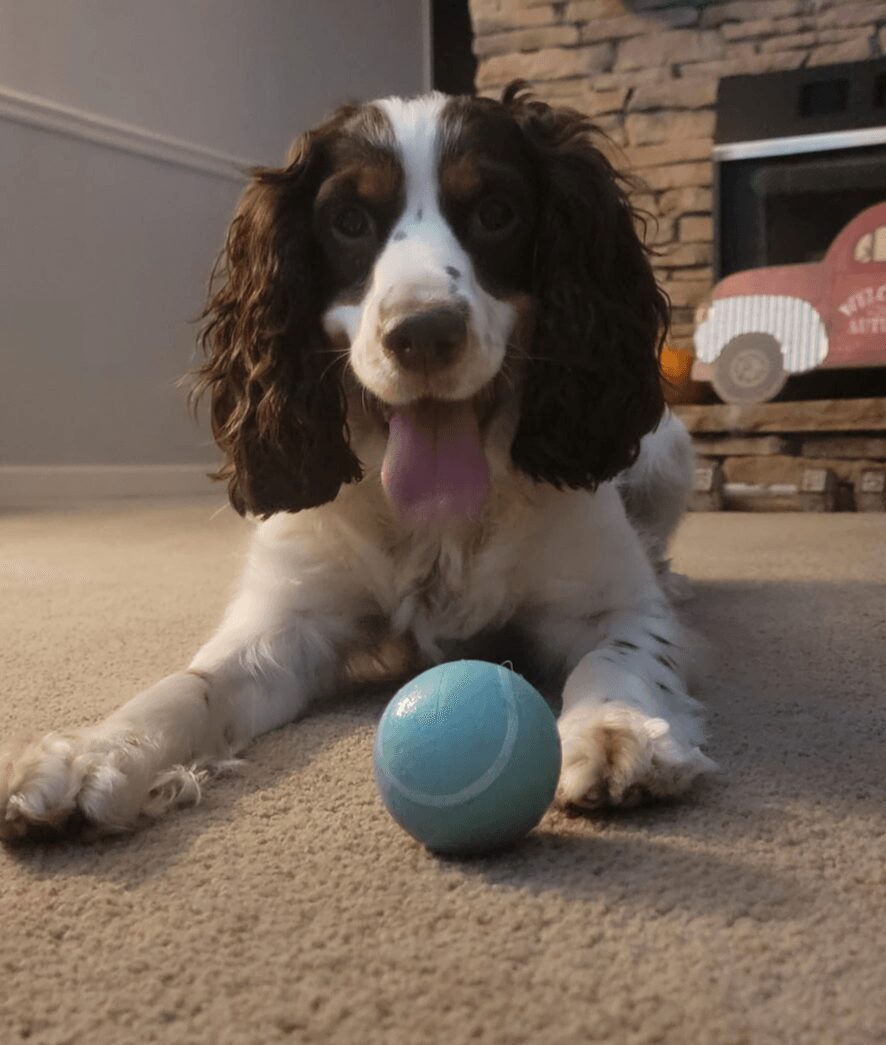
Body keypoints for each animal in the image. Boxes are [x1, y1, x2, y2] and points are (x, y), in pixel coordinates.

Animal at [0, 83, 714, 841]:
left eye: (496, 212)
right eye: (348, 220)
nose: (424, 333)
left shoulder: (610, 602)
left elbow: (623, 654)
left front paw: (619, 730)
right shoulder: (286, 621)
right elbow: (192, 684)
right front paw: (90, 754)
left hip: (667, 451)